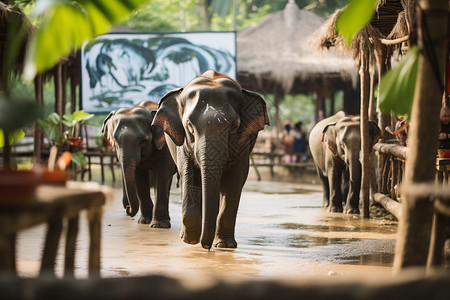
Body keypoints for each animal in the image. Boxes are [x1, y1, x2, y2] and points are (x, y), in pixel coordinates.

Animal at [151, 69, 270, 248]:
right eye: (189, 126)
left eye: (234, 127)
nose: (205, 247)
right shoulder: (183, 143)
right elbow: (189, 175)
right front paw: (190, 239)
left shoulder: (243, 143)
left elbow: (235, 180)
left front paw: (224, 245)